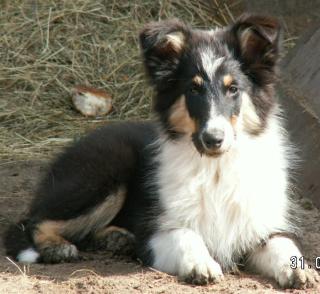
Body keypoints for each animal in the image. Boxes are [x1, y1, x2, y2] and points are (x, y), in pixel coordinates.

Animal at [4, 14, 318, 288]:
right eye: (193, 90)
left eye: (233, 89)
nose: (213, 139)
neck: (215, 168)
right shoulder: (158, 232)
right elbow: (187, 235)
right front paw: (202, 264)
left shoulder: (264, 224)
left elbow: (283, 245)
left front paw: (300, 271)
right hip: (105, 173)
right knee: (31, 220)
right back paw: (57, 247)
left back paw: (116, 237)